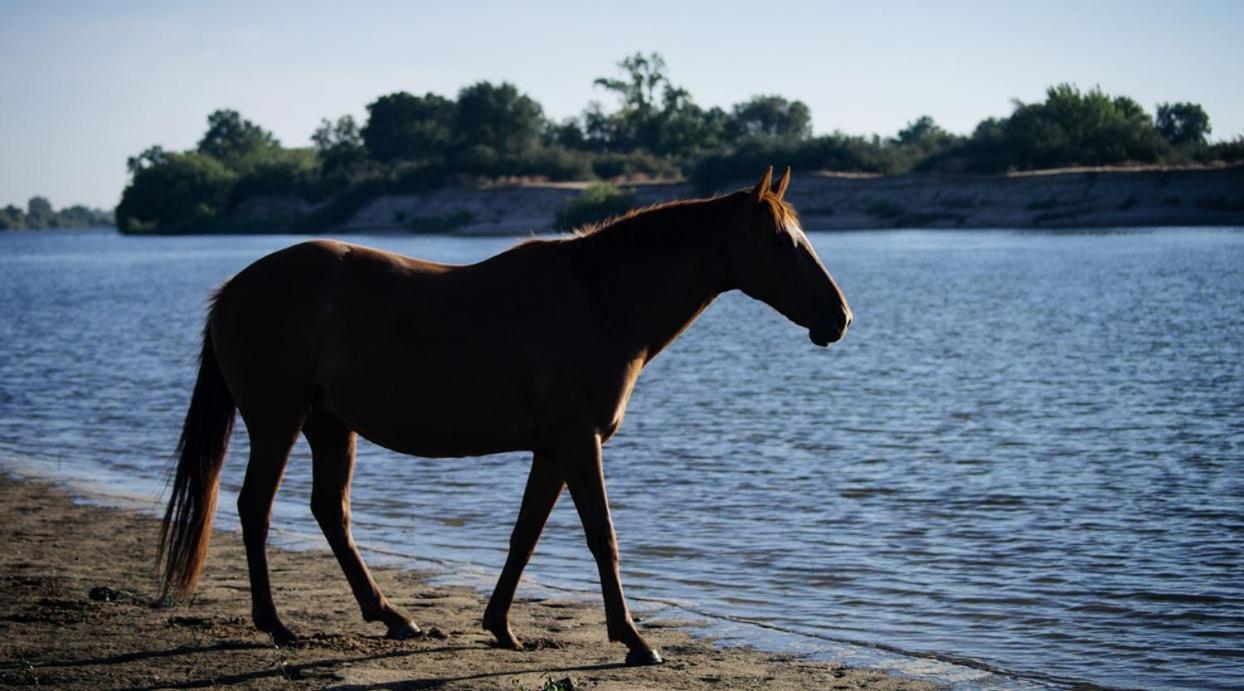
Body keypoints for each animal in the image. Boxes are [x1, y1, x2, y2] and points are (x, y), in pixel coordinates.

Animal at [157, 164, 855, 667]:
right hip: (278, 421)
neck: (599, 299)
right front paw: (634, 639)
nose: (840, 318)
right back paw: (277, 625)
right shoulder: (579, 443)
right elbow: (603, 538)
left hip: (329, 425)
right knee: (254, 508)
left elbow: (525, 535)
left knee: (331, 512)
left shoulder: (553, 448)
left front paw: (500, 626)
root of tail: (234, 289)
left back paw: (393, 617)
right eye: (785, 242)